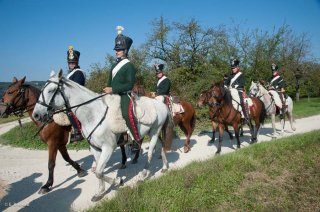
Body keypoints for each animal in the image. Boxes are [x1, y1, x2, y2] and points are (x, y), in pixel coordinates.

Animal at [33, 70, 170, 201]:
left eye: (51, 90)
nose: (36, 115)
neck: (93, 115)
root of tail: (161, 104)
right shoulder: (95, 148)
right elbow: (99, 171)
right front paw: (100, 192)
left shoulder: (107, 148)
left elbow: (98, 172)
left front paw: (117, 181)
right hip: (152, 133)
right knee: (160, 146)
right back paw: (165, 166)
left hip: (154, 132)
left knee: (151, 152)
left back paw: (144, 174)